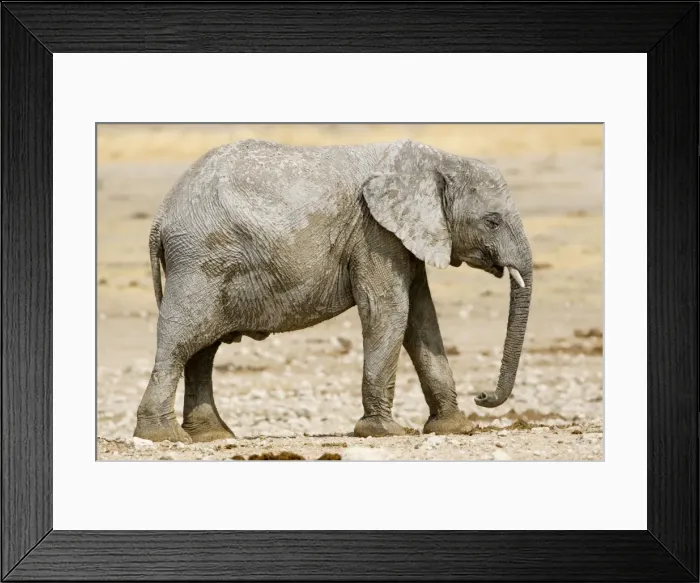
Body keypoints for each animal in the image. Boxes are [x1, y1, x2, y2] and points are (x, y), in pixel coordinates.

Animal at [133, 138, 532, 443]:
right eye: (492, 221)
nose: (482, 395)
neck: (437, 160)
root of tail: (160, 216)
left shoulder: (403, 238)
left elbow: (421, 318)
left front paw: (453, 428)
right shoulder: (374, 234)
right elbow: (388, 310)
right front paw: (383, 432)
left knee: (203, 349)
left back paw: (211, 436)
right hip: (200, 263)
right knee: (181, 341)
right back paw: (164, 437)